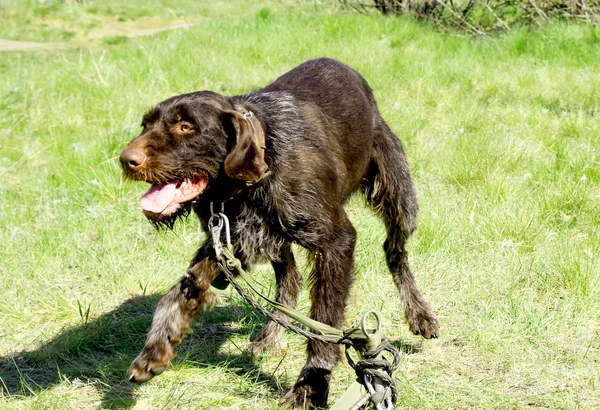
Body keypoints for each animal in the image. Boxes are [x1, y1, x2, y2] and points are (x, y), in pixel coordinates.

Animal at [119, 56, 438, 406]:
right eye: (145, 124)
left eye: (185, 126)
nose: (125, 160)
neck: (258, 167)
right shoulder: (226, 241)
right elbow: (176, 295)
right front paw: (155, 350)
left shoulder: (336, 243)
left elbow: (324, 324)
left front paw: (311, 386)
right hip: (271, 238)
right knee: (290, 282)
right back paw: (270, 337)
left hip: (399, 199)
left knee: (395, 253)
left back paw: (419, 314)